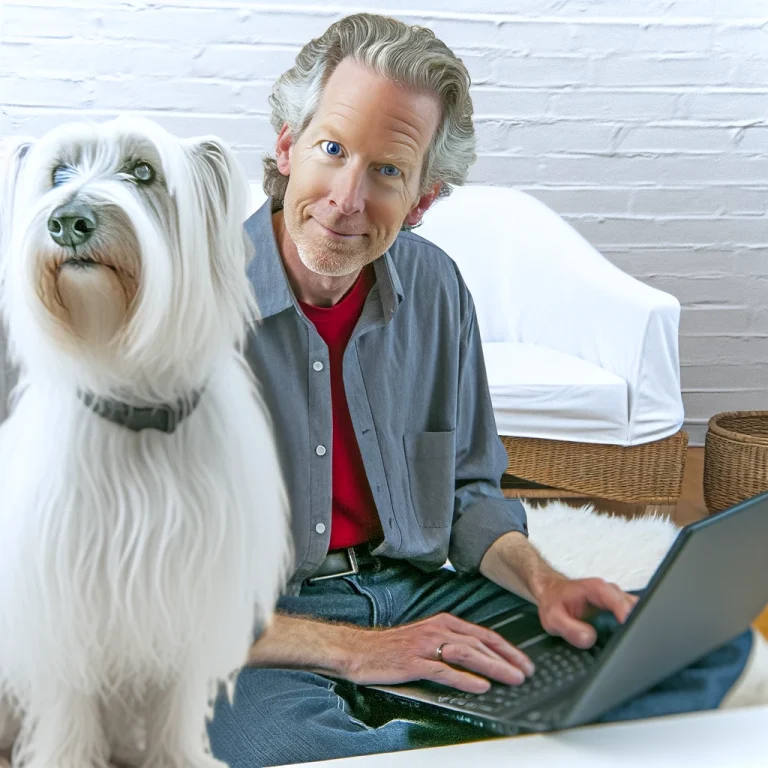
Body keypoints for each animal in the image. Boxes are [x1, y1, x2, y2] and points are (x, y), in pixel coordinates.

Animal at [0, 115, 292, 768]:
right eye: (59, 172)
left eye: (142, 171)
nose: (68, 221)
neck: (135, 408)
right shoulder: (65, 605)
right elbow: (71, 709)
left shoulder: (184, 600)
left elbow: (173, 709)